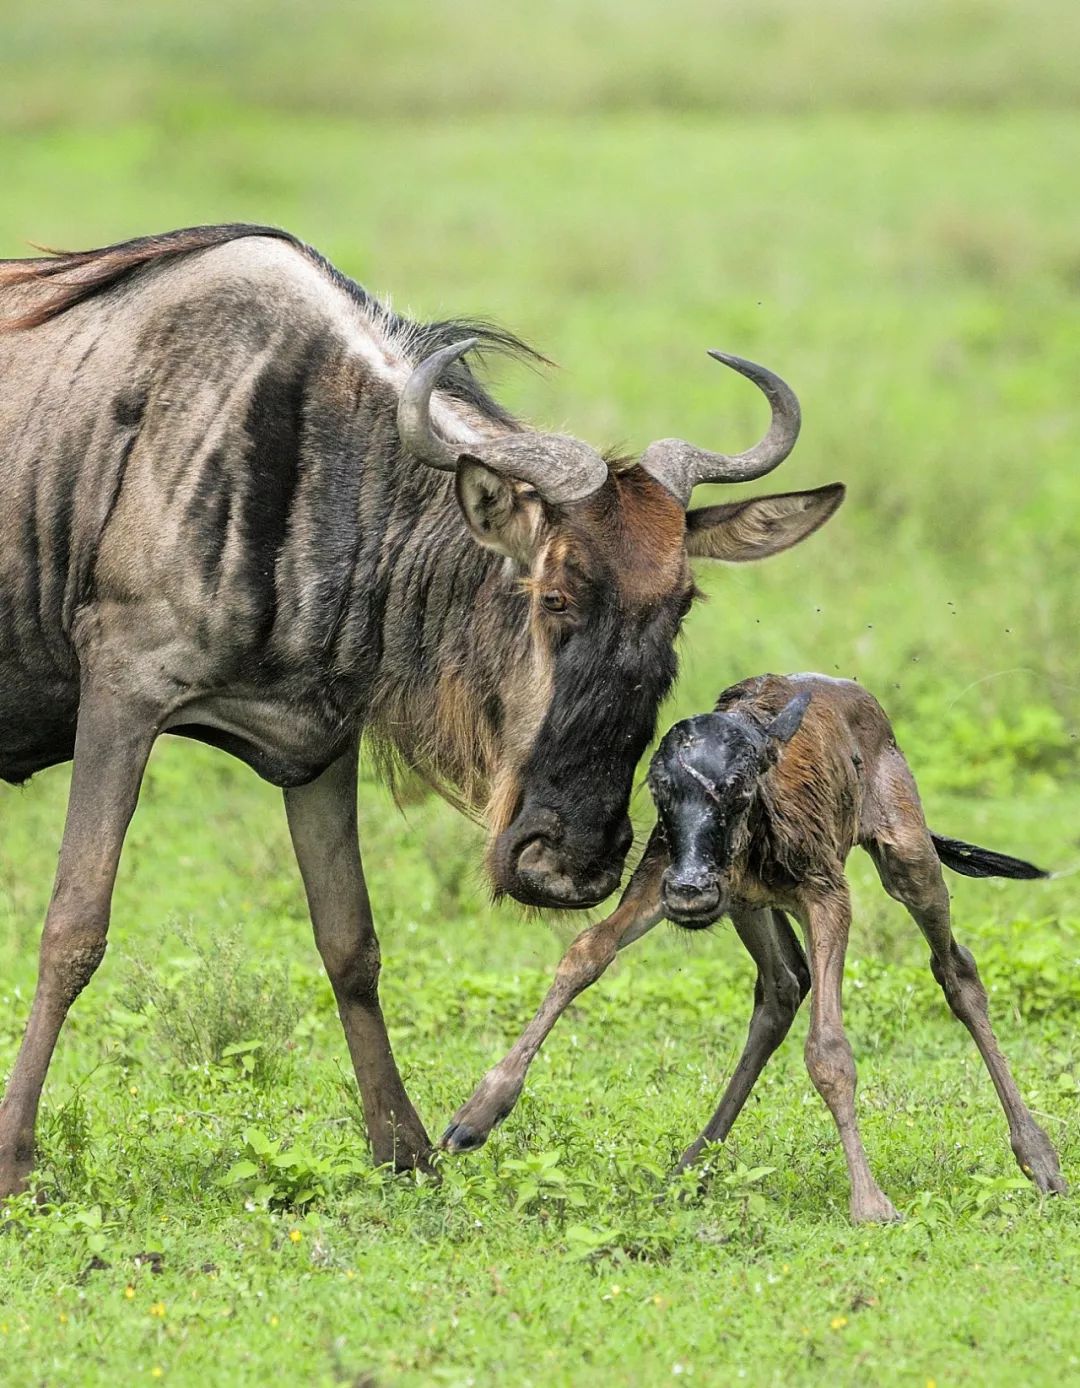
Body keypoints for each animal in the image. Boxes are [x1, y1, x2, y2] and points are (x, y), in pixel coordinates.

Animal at [441, 677, 1066, 1221]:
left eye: (739, 788)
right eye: (659, 790)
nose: (691, 891)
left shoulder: (827, 894)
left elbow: (829, 1051)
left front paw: (870, 1204)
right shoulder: (661, 875)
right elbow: (585, 952)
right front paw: (476, 1115)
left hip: (906, 855)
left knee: (955, 971)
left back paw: (1040, 1159)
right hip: (747, 907)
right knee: (782, 989)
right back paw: (689, 1169)